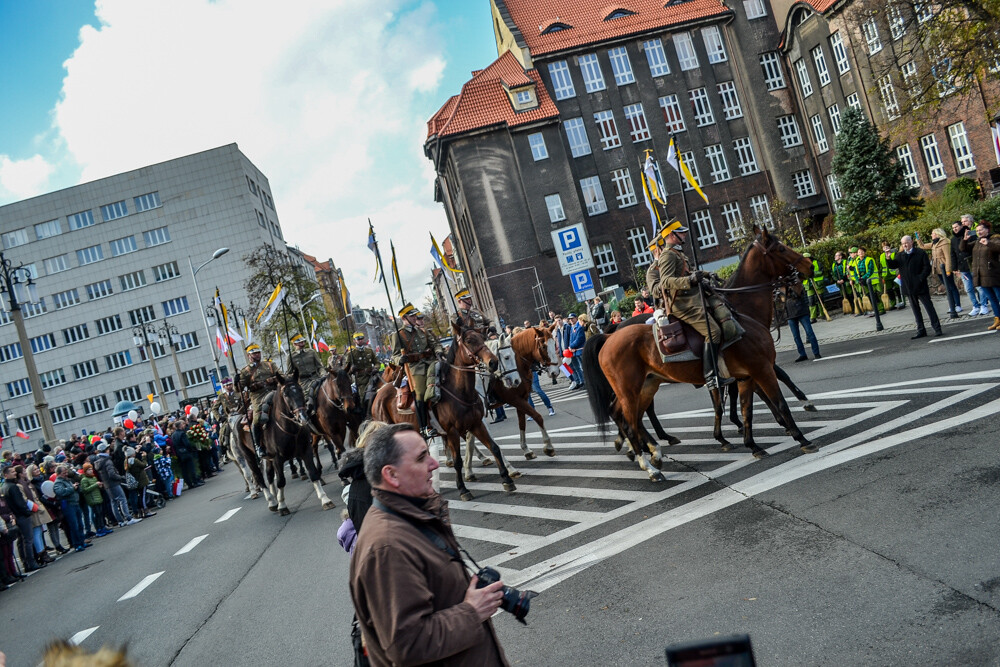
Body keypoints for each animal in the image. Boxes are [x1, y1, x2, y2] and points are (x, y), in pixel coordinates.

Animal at [372, 328, 520, 500]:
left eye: (514, 354)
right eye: (506, 357)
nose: (516, 381)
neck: (460, 390)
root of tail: (379, 393)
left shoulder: (475, 423)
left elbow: (491, 446)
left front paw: (505, 476)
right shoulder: (453, 430)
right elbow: (459, 458)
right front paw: (464, 486)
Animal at [584, 228, 816, 480]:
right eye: (781, 249)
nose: (808, 265)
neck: (743, 313)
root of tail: (609, 338)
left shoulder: (745, 377)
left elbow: (747, 410)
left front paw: (752, 444)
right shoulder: (761, 369)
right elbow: (779, 400)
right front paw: (801, 437)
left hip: (647, 385)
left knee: (628, 416)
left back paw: (653, 450)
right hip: (629, 390)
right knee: (629, 423)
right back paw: (650, 466)